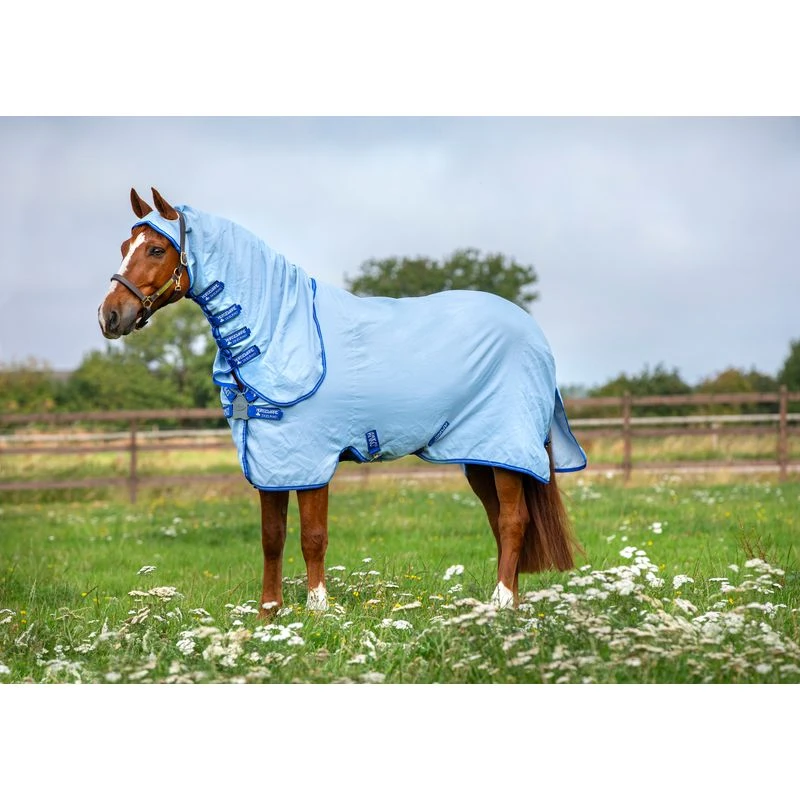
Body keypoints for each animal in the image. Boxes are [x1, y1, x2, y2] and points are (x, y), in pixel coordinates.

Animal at [98, 187, 587, 615]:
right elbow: (272, 537)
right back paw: (506, 606)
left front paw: (317, 608)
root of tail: (532, 331)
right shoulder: (271, 459)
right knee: (501, 520)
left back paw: (501, 603)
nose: (110, 316)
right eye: (124, 245)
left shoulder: (310, 456)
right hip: (481, 455)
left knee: (513, 521)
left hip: (506, 449)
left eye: (155, 250)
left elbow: (312, 535)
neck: (280, 331)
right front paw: (268, 614)